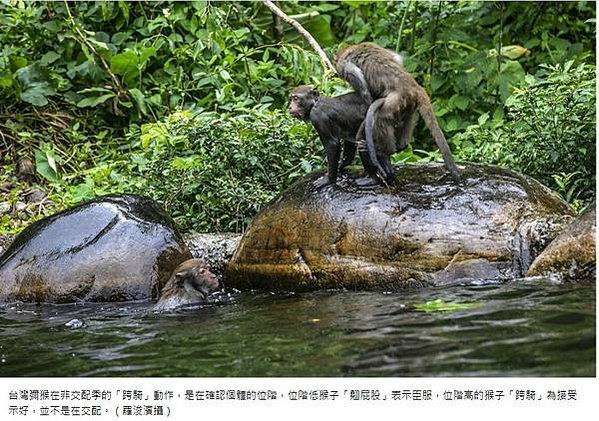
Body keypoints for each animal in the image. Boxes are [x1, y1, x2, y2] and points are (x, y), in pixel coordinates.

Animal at [336, 42, 462, 184]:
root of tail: (415, 87)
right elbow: (397, 59)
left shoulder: (344, 66)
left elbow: (365, 94)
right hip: (409, 104)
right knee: (407, 119)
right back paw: (401, 146)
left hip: (396, 101)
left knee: (381, 119)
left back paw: (383, 151)